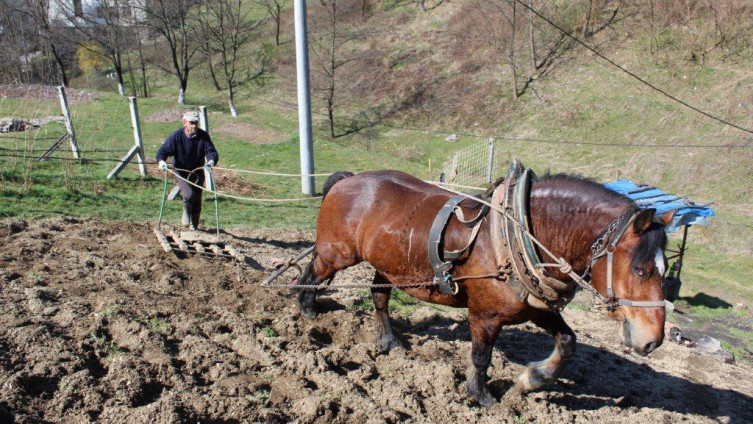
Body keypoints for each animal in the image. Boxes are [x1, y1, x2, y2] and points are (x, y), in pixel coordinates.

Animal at [296, 167, 672, 406]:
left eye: (665, 270)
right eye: (640, 270)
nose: (652, 341)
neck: (517, 235)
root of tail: (348, 180)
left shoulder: (536, 307)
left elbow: (567, 342)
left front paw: (531, 379)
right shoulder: (485, 315)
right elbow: (481, 356)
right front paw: (481, 395)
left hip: (390, 266)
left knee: (379, 296)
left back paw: (389, 342)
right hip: (336, 254)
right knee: (309, 276)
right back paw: (305, 313)